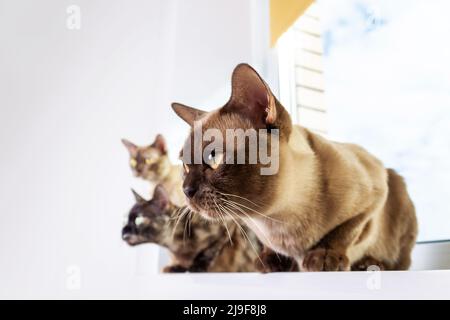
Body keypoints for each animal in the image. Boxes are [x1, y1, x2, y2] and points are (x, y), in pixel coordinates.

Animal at [171, 63, 418, 272]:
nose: (186, 190)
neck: (275, 219)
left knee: (399, 262)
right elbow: (269, 248)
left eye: (214, 157)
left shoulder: (374, 194)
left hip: (398, 190)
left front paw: (323, 257)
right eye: (185, 165)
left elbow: (344, 233)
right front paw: (271, 262)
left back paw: (369, 264)